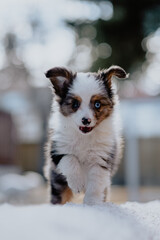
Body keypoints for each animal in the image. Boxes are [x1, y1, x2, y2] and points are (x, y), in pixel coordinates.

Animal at [44, 65, 129, 204]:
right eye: (75, 104)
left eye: (97, 104)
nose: (86, 120)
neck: (84, 137)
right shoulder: (57, 150)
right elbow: (70, 159)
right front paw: (77, 183)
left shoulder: (101, 159)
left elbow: (95, 183)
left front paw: (91, 202)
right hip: (58, 183)